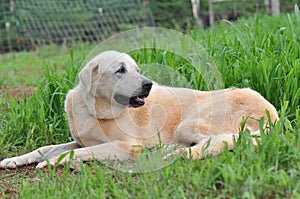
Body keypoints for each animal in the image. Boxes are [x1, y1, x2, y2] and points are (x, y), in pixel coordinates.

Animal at [0, 50, 278, 169]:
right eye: (120, 70)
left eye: (137, 69)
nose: (148, 84)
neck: (95, 110)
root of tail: (272, 113)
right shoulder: (80, 140)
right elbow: (46, 148)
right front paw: (14, 160)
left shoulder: (123, 146)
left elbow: (75, 152)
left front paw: (53, 162)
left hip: (189, 123)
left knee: (218, 141)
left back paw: (172, 153)